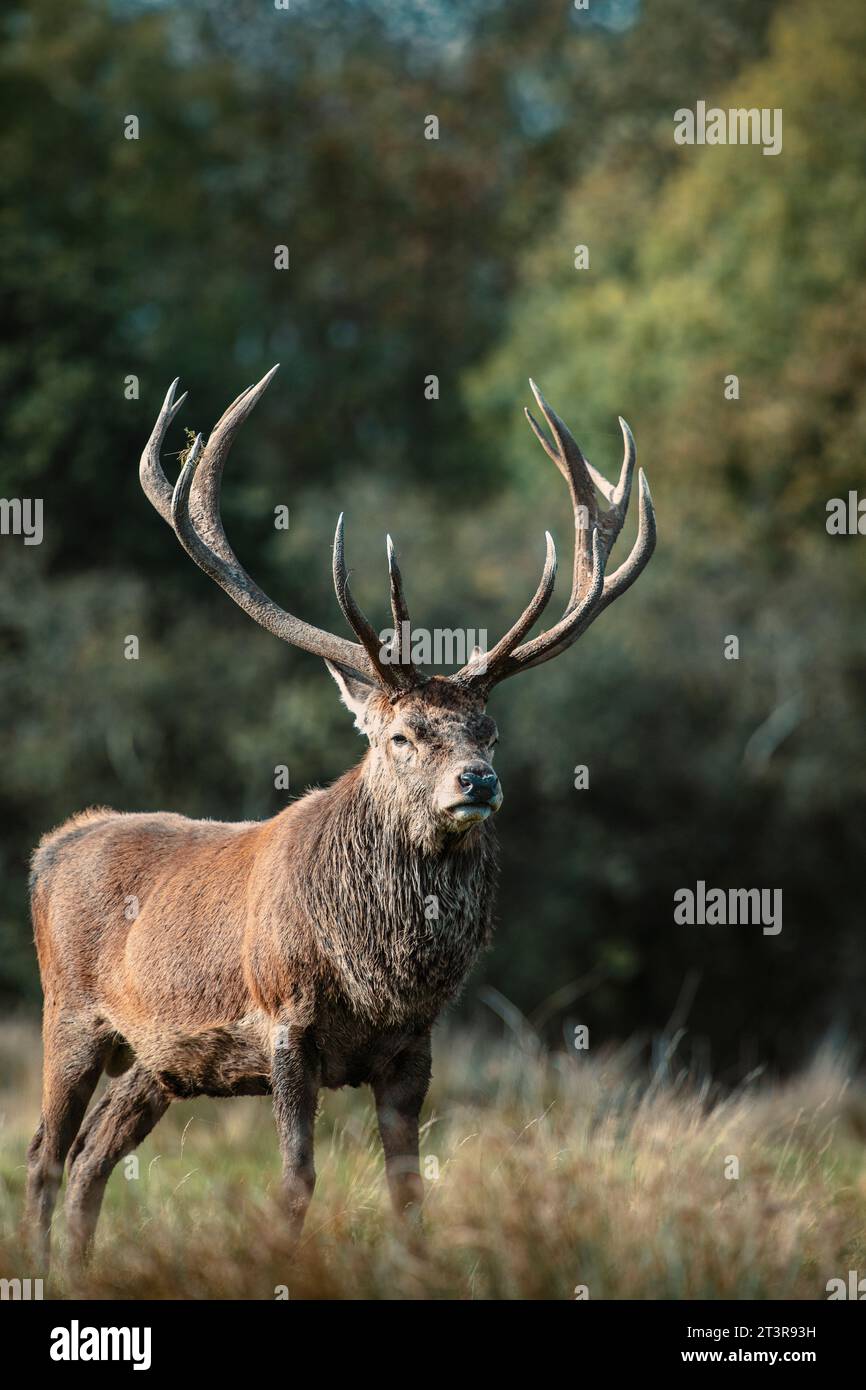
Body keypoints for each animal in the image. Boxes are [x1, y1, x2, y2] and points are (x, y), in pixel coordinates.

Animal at [25, 367, 655, 1266]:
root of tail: (50, 848)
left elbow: (410, 1191)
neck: (377, 974)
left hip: (158, 1060)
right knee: (44, 1156)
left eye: (489, 730)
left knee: (90, 1155)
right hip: (70, 1013)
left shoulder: (413, 1045)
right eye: (402, 734)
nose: (479, 782)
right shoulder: (285, 1020)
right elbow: (296, 1181)